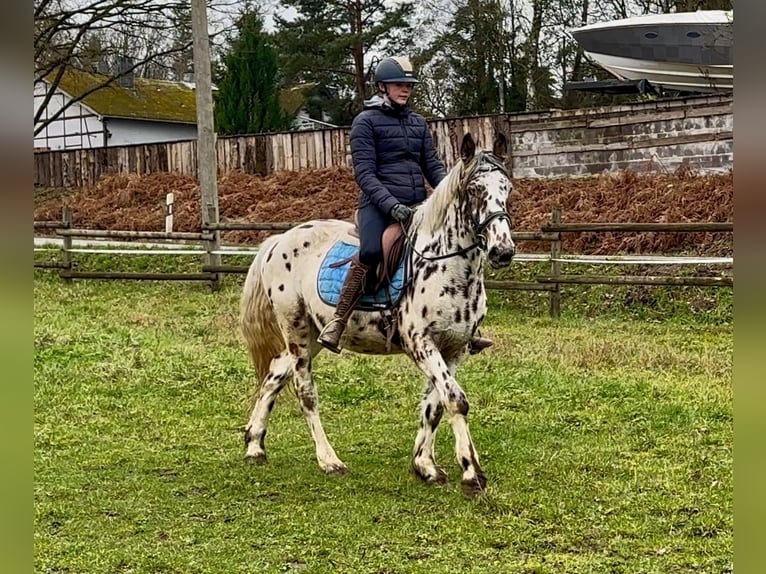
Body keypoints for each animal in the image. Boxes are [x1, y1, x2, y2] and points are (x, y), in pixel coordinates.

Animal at [240, 133, 516, 498]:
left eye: (507, 188)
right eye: (474, 189)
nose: (503, 251)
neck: (448, 266)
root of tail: (279, 240)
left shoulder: (454, 349)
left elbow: (435, 405)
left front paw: (425, 466)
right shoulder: (421, 343)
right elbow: (455, 400)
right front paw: (472, 474)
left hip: (313, 334)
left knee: (274, 376)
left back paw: (255, 446)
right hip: (295, 328)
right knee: (304, 390)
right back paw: (329, 460)